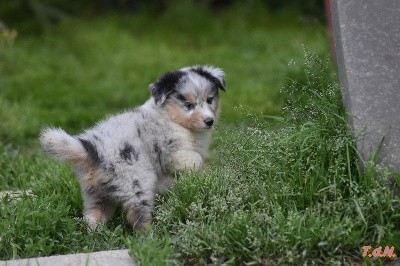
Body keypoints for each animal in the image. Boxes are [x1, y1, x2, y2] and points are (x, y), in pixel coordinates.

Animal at [39, 65, 225, 231]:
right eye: (188, 105)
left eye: (210, 100)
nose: (209, 121)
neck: (171, 118)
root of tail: (93, 150)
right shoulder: (172, 152)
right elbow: (196, 159)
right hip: (138, 184)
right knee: (137, 216)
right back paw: (151, 236)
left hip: (95, 193)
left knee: (93, 216)